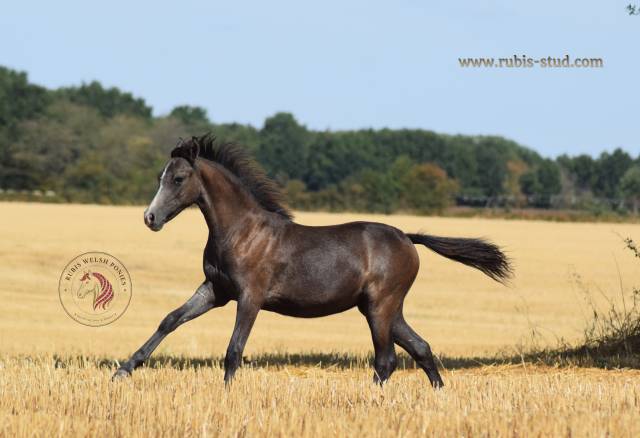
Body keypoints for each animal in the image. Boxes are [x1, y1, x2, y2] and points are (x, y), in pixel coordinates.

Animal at [112, 134, 512, 388]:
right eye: (161, 176)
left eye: (179, 178)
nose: (150, 218)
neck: (242, 231)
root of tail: (407, 238)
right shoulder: (214, 290)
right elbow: (170, 320)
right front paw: (124, 370)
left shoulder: (250, 297)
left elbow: (234, 349)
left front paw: (227, 393)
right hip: (384, 308)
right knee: (421, 349)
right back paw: (439, 393)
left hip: (380, 307)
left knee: (387, 359)